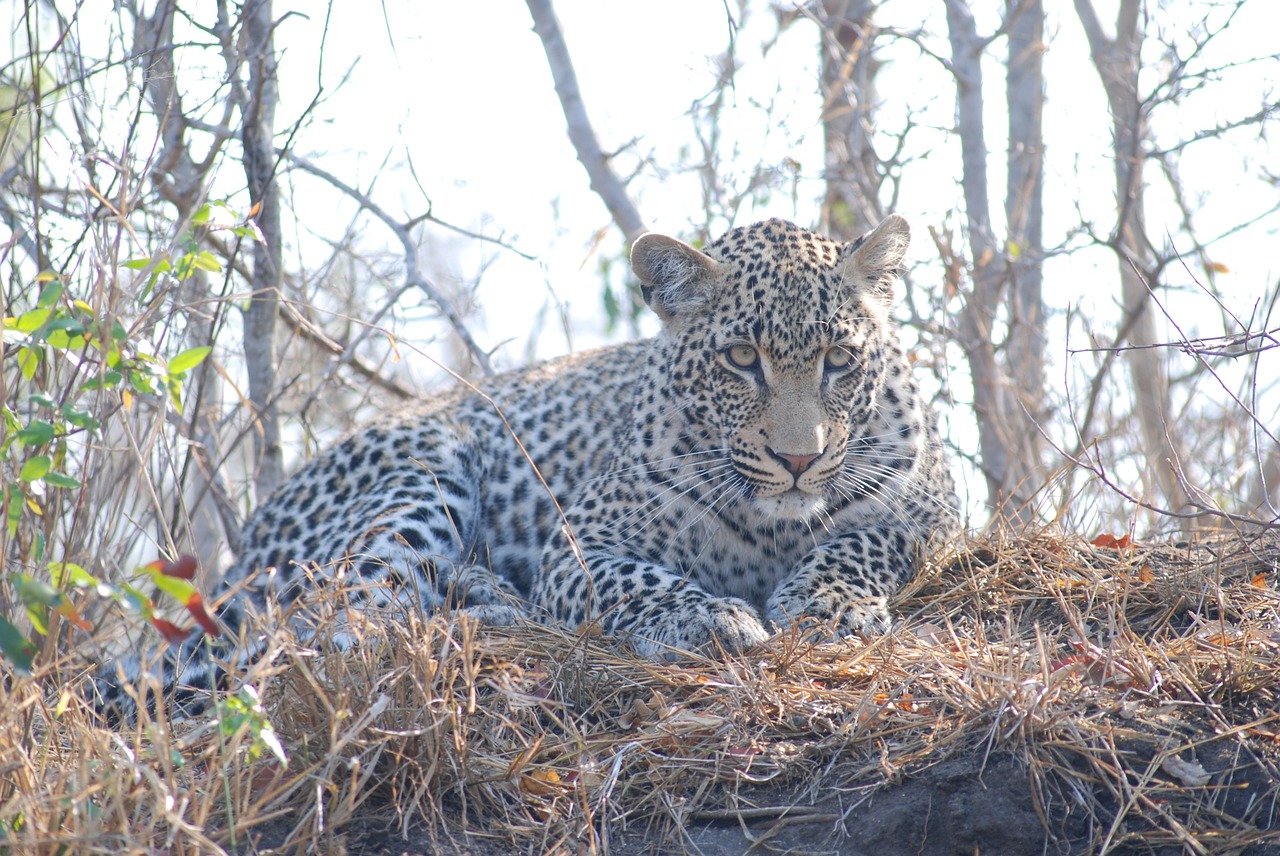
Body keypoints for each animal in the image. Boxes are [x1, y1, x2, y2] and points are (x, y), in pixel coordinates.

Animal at [94, 214, 957, 716]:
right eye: (742, 359)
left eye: (840, 359)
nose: (798, 459)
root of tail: (248, 540)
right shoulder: (579, 549)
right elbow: (634, 579)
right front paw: (705, 615)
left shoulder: (934, 508)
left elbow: (868, 537)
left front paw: (828, 602)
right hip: (425, 468)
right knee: (339, 622)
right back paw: (487, 612)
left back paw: (485, 597)